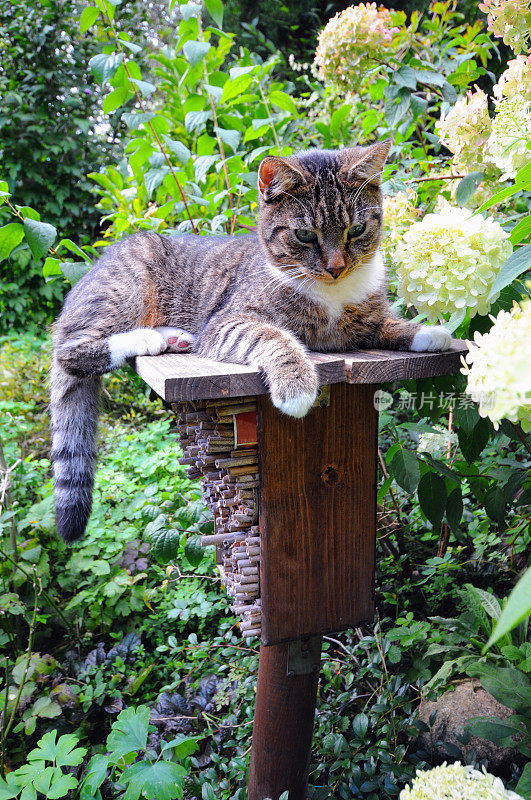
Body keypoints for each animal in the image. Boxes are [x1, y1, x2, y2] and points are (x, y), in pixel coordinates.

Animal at [50, 144, 450, 544]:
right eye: (305, 235)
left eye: (357, 229)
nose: (336, 267)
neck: (333, 294)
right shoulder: (227, 322)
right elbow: (273, 336)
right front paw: (296, 384)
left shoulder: (367, 322)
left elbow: (388, 324)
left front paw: (429, 332)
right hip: (125, 291)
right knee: (70, 350)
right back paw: (147, 338)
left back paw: (173, 337)